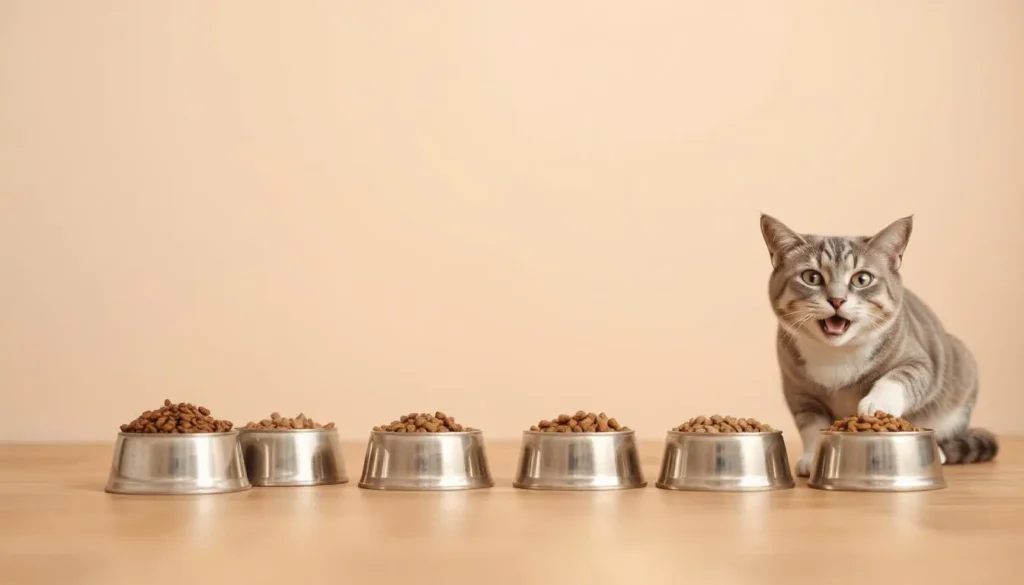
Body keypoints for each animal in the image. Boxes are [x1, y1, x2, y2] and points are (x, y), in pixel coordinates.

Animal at [761, 213, 991, 477]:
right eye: (812, 277)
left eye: (861, 279)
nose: (837, 300)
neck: (837, 354)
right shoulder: (799, 392)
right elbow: (811, 425)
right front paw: (812, 457)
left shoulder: (921, 360)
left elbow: (903, 376)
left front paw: (877, 403)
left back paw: (941, 453)